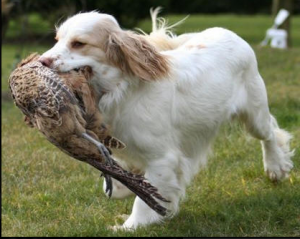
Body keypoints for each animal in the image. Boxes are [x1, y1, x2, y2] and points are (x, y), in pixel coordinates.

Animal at [39, 8, 292, 230]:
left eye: (78, 43)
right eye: (57, 40)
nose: (42, 61)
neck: (121, 91)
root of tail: (229, 32)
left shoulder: (162, 158)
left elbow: (146, 200)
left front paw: (131, 226)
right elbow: (121, 176)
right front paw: (123, 187)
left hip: (254, 113)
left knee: (270, 133)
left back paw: (275, 166)